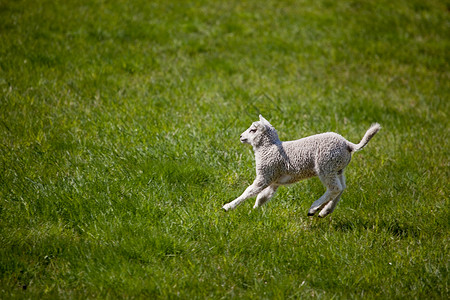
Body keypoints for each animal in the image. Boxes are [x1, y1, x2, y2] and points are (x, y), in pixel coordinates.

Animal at [221, 115, 380, 218]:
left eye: (253, 130)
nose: (241, 137)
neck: (268, 148)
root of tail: (348, 144)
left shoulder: (265, 174)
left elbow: (249, 191)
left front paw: (228, 207)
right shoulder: (273, 180)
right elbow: (263, 197)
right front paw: (254, 210)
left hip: (325, 166)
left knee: (335, 188)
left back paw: (314, 208)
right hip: (338, 168)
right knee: (341, 188)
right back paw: (324, 211)